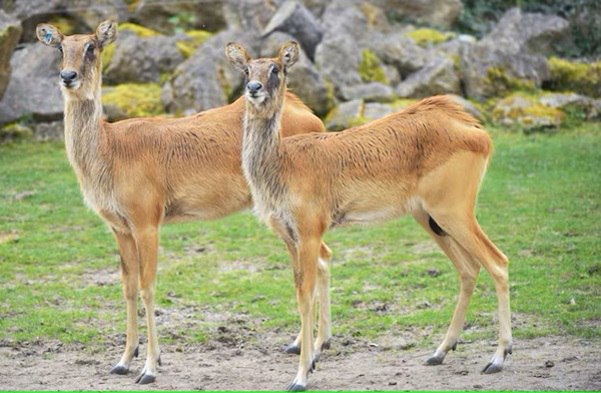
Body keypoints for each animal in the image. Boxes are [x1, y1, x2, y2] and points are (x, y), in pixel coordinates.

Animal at [35, 20, 330, 382]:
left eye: (92, 46)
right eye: (61, 47)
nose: (68, 75)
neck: (110, 153)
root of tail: (312, 115)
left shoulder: (147, 217)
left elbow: (148, 285)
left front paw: (150, 367)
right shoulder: (118, 226)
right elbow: (127, 285)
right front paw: (123, 360)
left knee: (318, 260)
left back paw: (314, 350)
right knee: (318, 260)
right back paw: (306, 346)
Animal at [225, 41, 510, 390]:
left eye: (276, 68)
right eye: (246, 69)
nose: (254, 88)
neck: (283, 164)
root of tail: (477, 132)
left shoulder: (310, 232)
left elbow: (305, 296)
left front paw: (301, 376)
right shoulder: (289, 236)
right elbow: (300, 290)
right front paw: (310, 360)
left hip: (454, 211)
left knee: (498, 262)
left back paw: (498, 358)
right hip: (430, 218)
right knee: (469, 269)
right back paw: (439, 352)